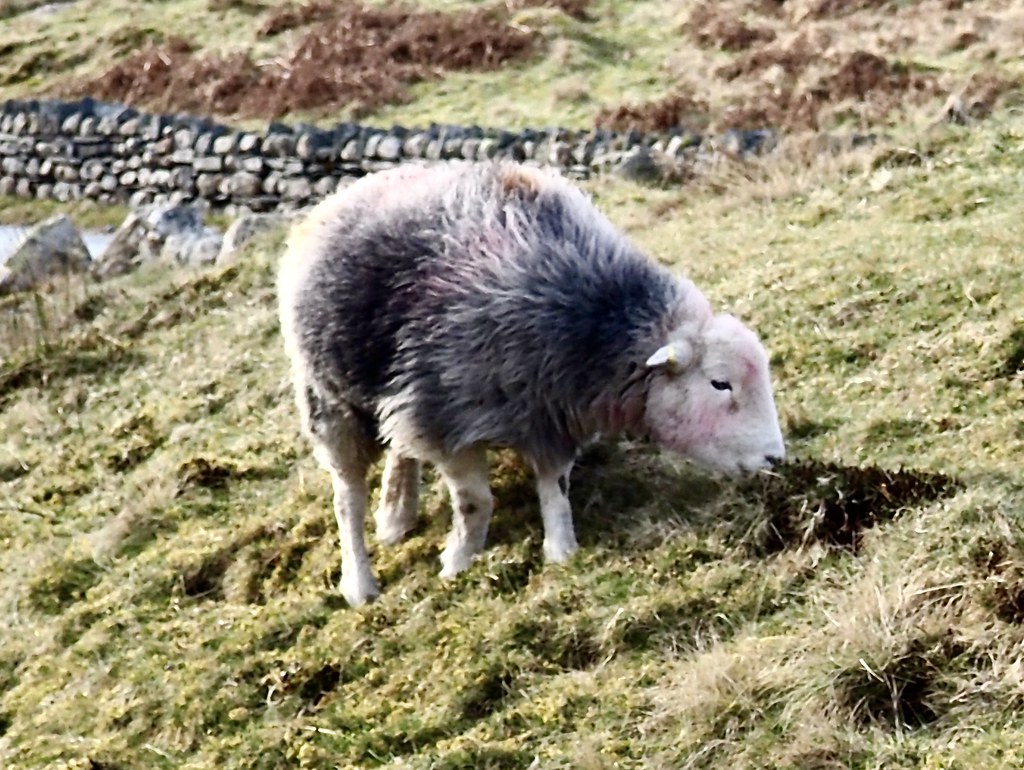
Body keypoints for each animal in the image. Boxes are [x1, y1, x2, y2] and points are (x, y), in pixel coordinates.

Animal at [278, 160, 785, 607]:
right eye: (720, 384)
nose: (776, 458)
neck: (588, 321)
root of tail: (342, 195)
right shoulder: (445, 419)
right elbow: (475, 502)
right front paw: (458, 563)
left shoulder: (549, 414)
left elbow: (554, 485)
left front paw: (561, 549)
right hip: (331, 400)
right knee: (347, 497)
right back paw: (359, 582)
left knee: (397, 447)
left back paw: (396, 514)